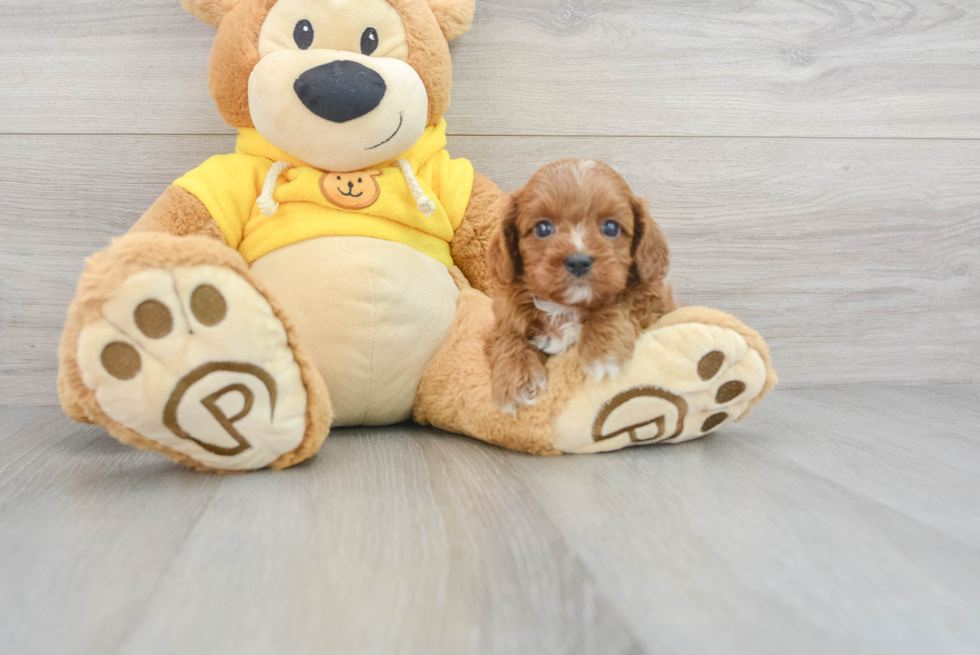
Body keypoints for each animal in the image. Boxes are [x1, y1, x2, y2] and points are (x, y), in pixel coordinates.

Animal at [488, 160, 672, 416]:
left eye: (611, 227)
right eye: (543, 228)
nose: (578, 261)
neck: (566, 306)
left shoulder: (655, 299)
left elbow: (619, 302)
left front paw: (602, 351)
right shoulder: (505, 315)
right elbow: (507, 336)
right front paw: (515, 379)